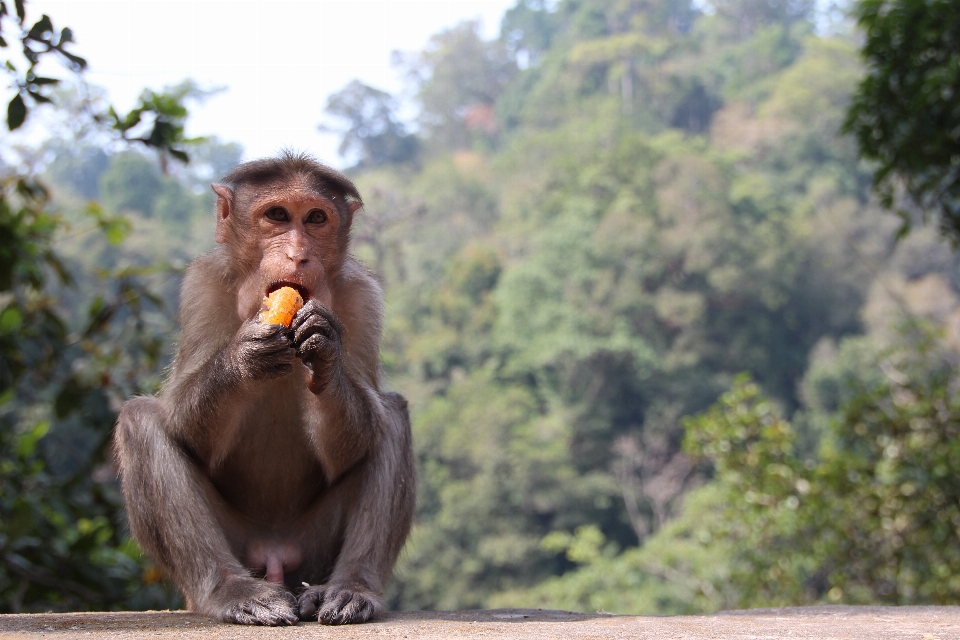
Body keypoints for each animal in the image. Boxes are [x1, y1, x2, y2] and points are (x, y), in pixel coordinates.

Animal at [112, 152, 412, 628]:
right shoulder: (203, 286)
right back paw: (232, 591)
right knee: (139, 421)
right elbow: (186, 429)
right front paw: (242, 358)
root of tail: (274, 554)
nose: (298, 255)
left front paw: (326, 352)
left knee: (392, 418)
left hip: (312, 549)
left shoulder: (364, 297)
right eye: (277, 216)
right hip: (241, 544)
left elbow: (358, 439)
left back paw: (350, 588)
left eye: (316, 218)